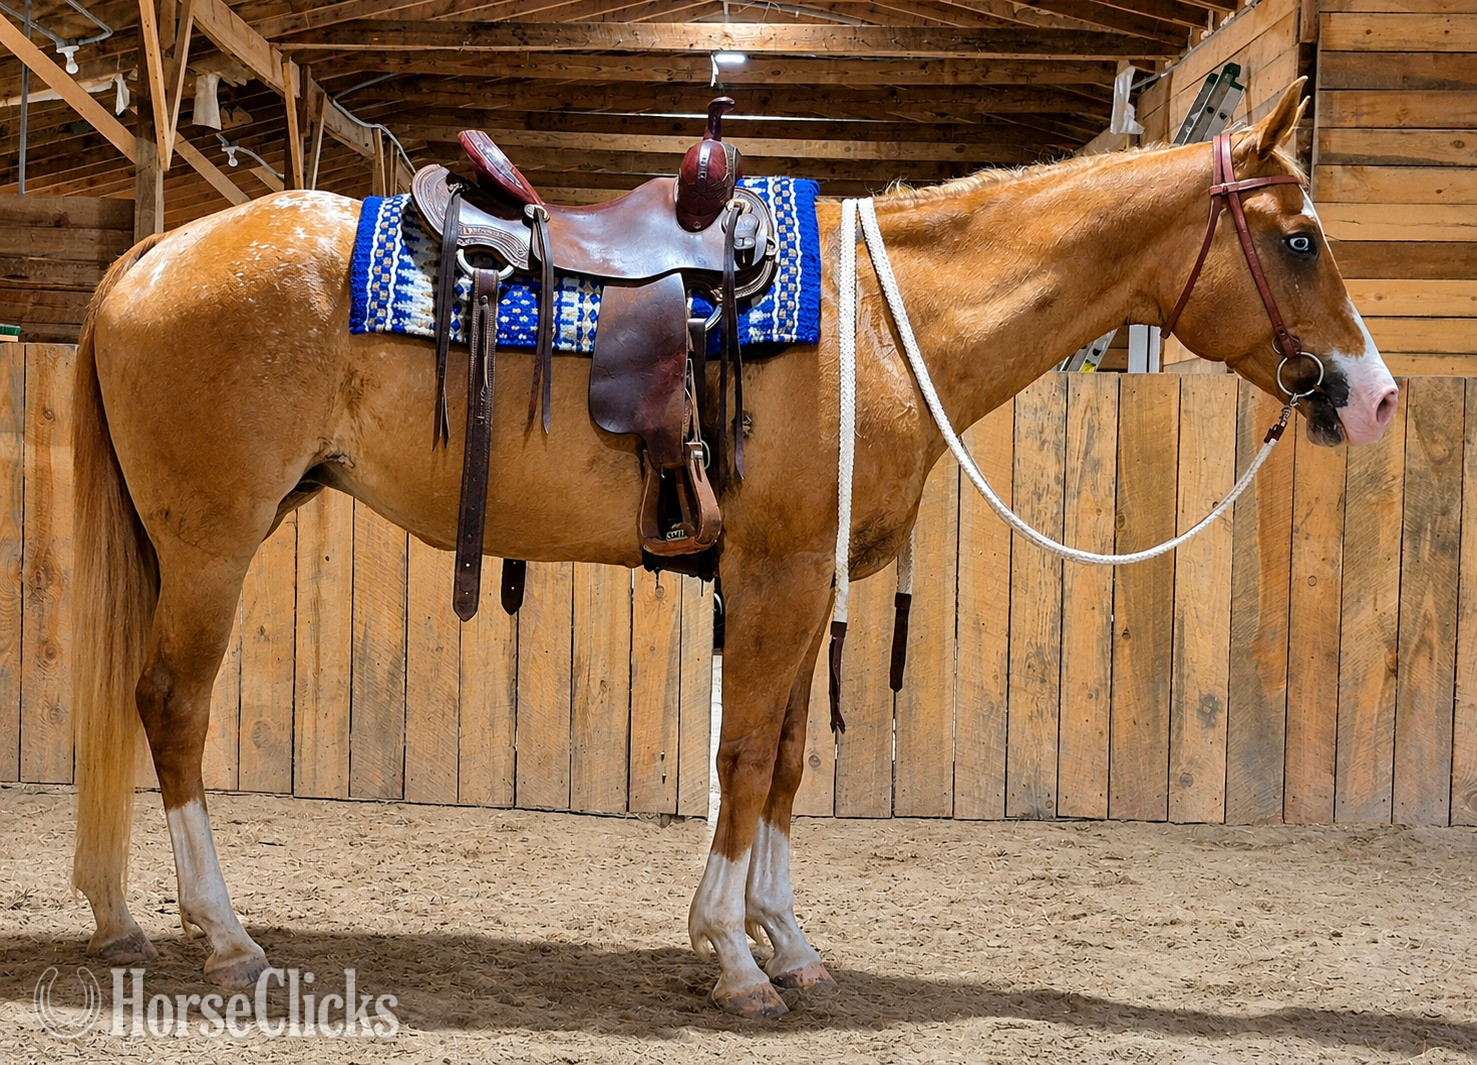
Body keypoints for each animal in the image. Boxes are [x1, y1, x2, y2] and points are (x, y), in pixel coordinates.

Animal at [70, 81, 1397, 1020]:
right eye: (1297, 241)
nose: (1375, 397)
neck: (878, 320)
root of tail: (151, 254)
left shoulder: (804, 586)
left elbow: (790, 765)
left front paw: (787, 943)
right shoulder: (774, 576)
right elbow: (748, 755)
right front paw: (731, 955)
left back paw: (122, 914)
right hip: (211, 546)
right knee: (171, 705)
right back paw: (223, 937)